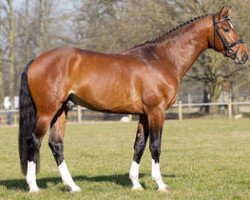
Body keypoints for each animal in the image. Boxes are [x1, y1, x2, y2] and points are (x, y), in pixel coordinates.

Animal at [18, 6, 247, 192]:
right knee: (34, 141)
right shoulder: (157, 111)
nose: (243, 54)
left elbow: (139, 145)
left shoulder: (144, 114)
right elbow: (155, 145)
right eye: (226, 29)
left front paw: (136, 184)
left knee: (56, 144)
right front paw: (160, 184)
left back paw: (73, 186)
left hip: (61, 111)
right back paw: (33, 187)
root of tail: (36, 60)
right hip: (47, 111)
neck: (162, 59)